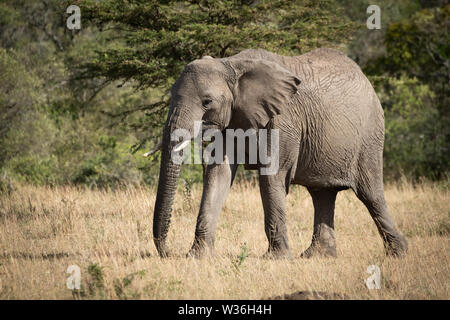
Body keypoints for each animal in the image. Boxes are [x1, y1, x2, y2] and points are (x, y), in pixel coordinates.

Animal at [151, 47, 408, 258]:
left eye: (207, 102)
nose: (168, 252)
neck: (231, 64)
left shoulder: (283, 120)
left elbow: (271, 176)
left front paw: (277, 258)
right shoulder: (232, 118)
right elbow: (218, 173)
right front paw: (197, 257)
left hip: (369, 136)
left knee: (370, 193)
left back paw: (399, 253)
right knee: (322, 194)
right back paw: (318, 256)